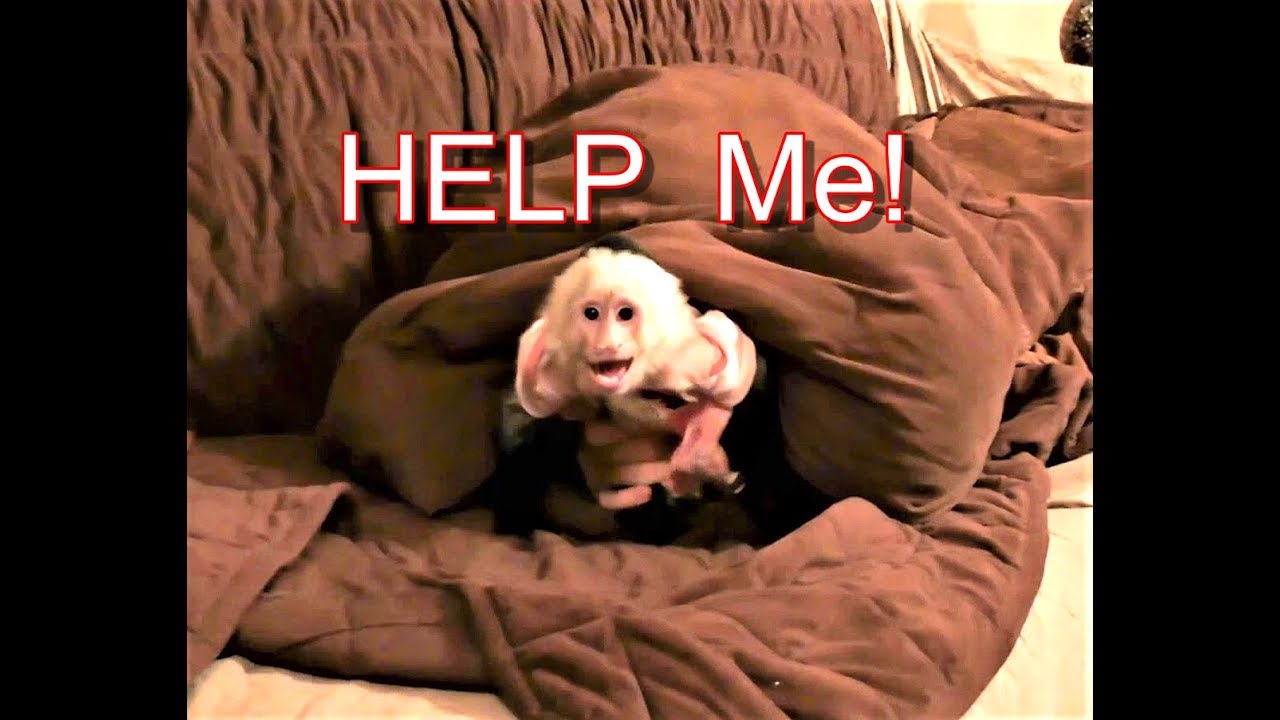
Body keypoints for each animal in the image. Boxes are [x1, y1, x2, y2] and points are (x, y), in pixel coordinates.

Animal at [510, 234, 759, 511]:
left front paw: (699, 447)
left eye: (625, 314)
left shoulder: (687, 357)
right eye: (592, 313)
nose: (607, 345)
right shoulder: (563, 372)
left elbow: (730, 384)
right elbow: (540, 403)